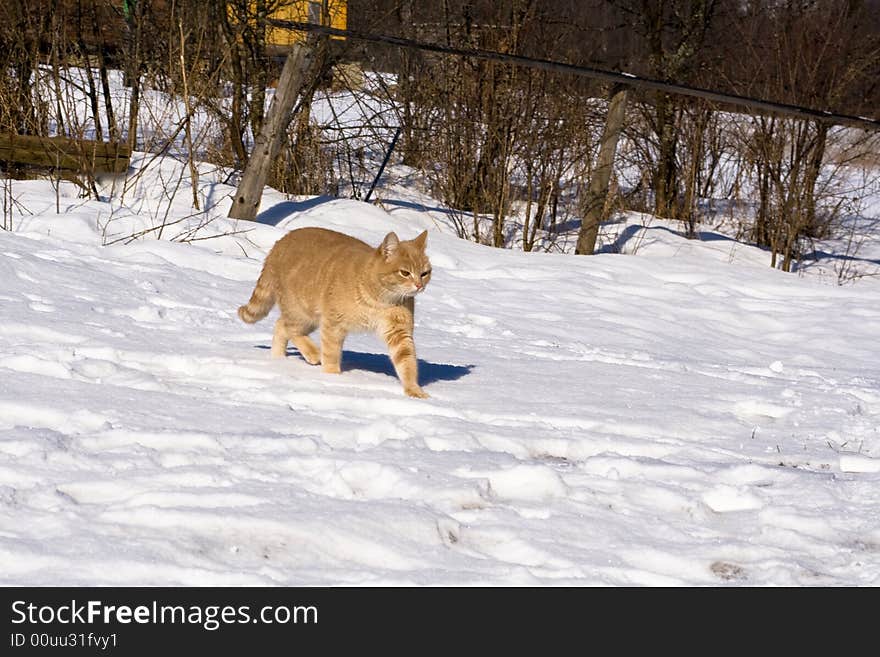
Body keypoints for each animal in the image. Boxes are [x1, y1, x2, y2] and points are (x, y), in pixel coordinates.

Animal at [239, 228, 432, 398]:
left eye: (425, 273)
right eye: (405, 273)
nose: (419, 286)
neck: (378, 298)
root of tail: (279, 243)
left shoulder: (399, 332)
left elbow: (406, 360)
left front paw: (413, 390)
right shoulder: (333, 324)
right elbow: (331, 353)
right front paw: (332, 379)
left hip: (308, 318)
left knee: (281, 326)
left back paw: (278, 360)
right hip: (302, 312)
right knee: (290, 329)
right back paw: (312, 354)